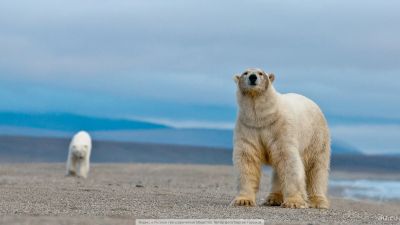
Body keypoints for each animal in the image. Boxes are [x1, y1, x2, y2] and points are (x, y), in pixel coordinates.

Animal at [233, 68, 330, 209]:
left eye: (261, 73)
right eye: (245, 73)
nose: (252, 77)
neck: (262, 118)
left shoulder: (281, 127)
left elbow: (289, 160)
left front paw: (294, 202)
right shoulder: (248, 127)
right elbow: (247, 158)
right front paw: (243, 200)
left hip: (316, 135)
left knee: (316, 166)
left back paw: (318, 201)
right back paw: (273, 198)